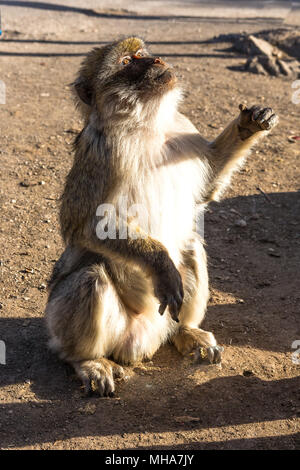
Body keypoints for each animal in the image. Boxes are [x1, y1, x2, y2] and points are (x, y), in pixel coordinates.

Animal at [44, 37, 278, 396]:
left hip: (165, 318)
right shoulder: (102, 153)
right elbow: (83, 224)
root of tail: (143, 341)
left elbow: (206, 189)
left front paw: (249, 123)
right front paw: (160, 264)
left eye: (141, 54)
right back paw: (87, 360)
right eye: (127, 62)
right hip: (62, 322)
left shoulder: (183, 127)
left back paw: (186, 332)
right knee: (91, 278)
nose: (156, 60)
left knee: (191, 246)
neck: (146, 125)